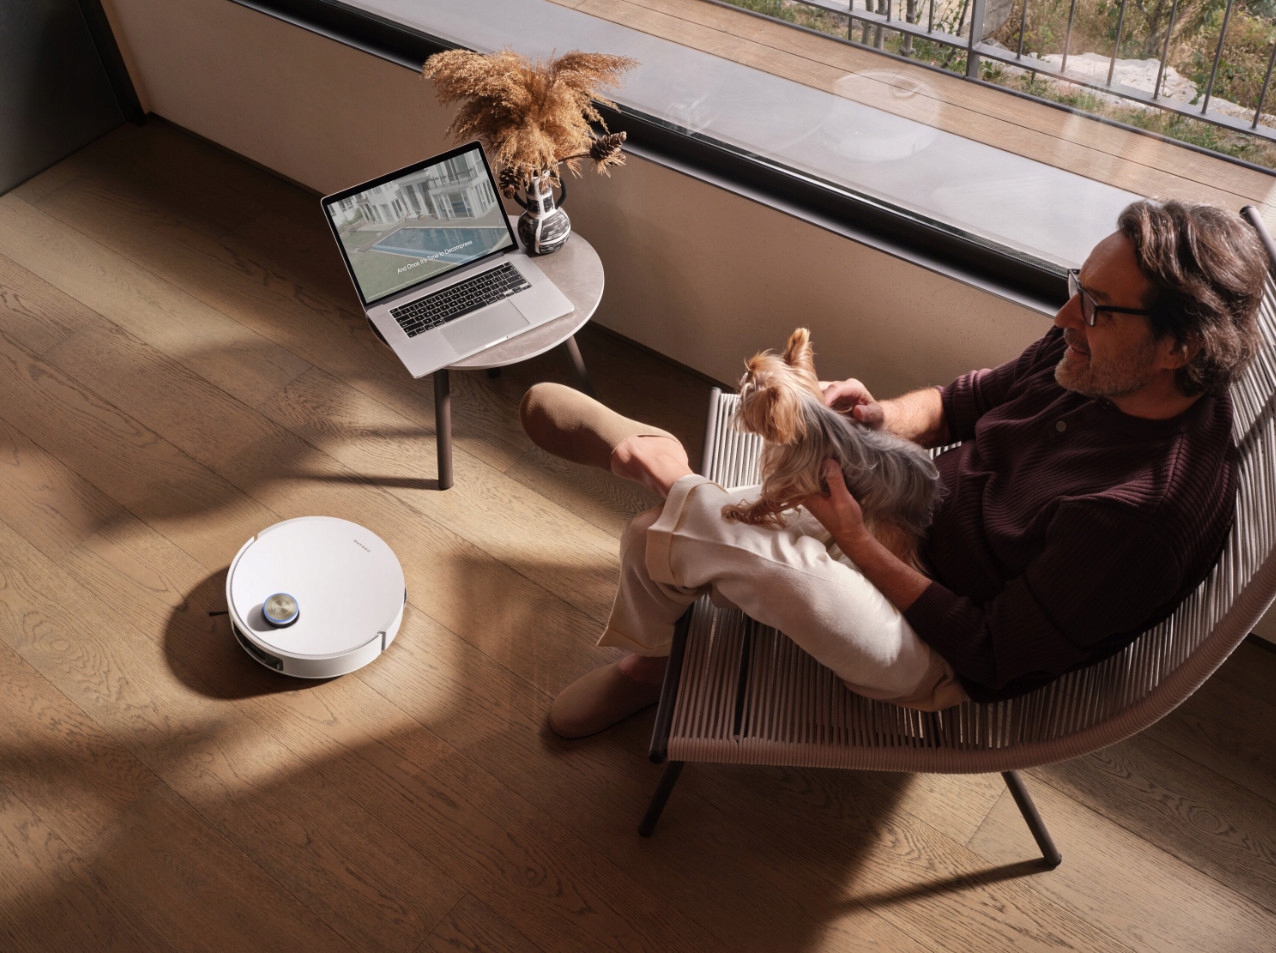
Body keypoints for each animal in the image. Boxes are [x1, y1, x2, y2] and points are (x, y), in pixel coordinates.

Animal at [720, 327, 941, 568]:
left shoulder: (796, 480)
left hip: (893, 521)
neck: (806, 417)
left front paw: (739, 511)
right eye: (749, 370)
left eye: (750, 390)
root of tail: (932, 478)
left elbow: (769, 500)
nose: (743, 375)